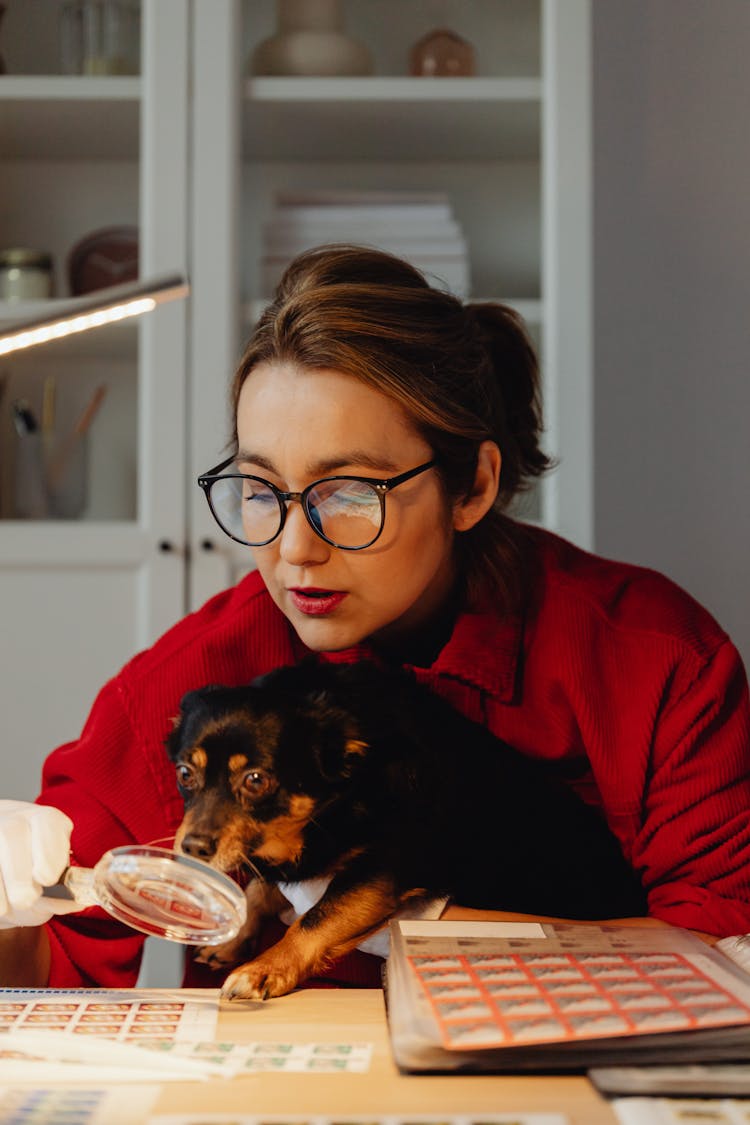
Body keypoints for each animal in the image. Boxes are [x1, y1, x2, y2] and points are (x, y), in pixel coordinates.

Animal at [164, 657, 647, 1003]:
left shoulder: (381, 871)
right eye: (185, 773)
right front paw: (233, 939)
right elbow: (258, 888)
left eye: (256, 781)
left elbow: (315, 917)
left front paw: (263, 968)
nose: (192, 846)